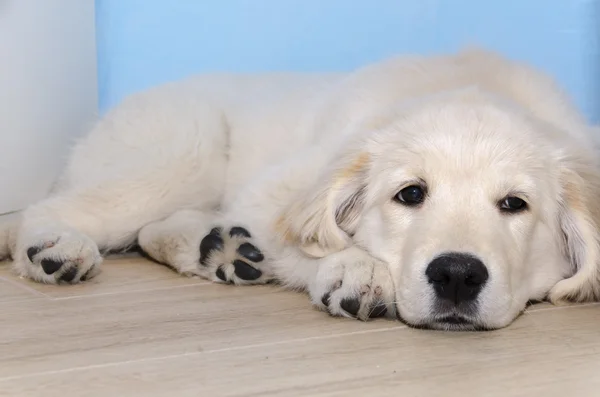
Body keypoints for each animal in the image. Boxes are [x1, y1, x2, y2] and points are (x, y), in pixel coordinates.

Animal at [1, 48, 600, 330]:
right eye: (410, 194)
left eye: (515, 205)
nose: (456, 275)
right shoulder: (277, 191)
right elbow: (312, 238)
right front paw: (357, 269)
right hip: (185, 146)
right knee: (52, 207)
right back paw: (54, 248)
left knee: (153, 231)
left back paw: (221, 249)